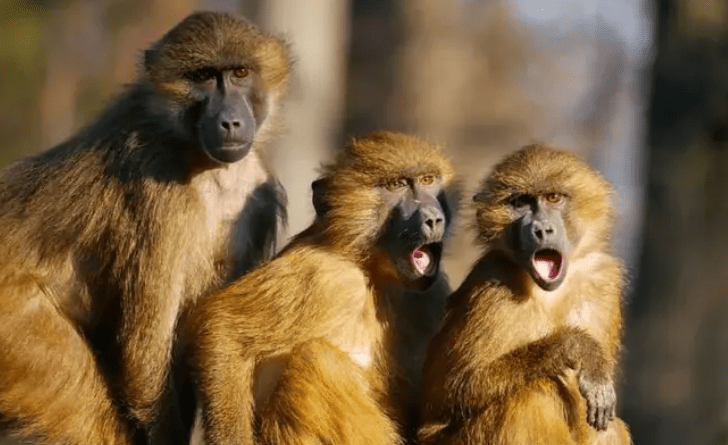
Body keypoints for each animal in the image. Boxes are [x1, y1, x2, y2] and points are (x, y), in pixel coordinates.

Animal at [0, 12, 290, 445]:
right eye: (203, 77)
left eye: (240, 73)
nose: (230, 122)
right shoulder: (160, 192)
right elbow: (144, 354)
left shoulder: (259, 202)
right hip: (16, 325)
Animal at [187, 131, 460, 445]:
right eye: (397, 185)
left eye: (428, 180)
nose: (433, 219)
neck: (373, 272)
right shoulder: (323, 275)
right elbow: (223, 329)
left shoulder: (432, 292)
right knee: (316, 360)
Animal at [417, 145, 632, 445]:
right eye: (520, 202)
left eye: (553, 198)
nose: (541, 229)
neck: (549, 293)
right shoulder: (491, 284)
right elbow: (449, 391)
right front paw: (577, 348)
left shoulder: (602, 279)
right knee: (532, 397)